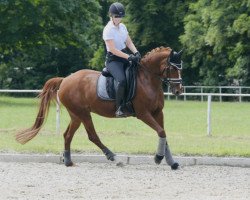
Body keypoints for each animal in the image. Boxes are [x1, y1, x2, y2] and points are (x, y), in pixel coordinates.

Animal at [16, 47, 184, 170]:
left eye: (180, 68)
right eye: (172, 68)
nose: (178, 91)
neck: (147, 79)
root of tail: (65, 79)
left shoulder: (158, 113)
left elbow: (163, 133)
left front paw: (171, 162)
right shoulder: (143, 114)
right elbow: (161, 131)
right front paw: (158, 158)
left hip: (76, 115)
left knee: (67, 135)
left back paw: (68, 161)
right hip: (83, 114)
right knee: (92, 136)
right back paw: (115, 158)